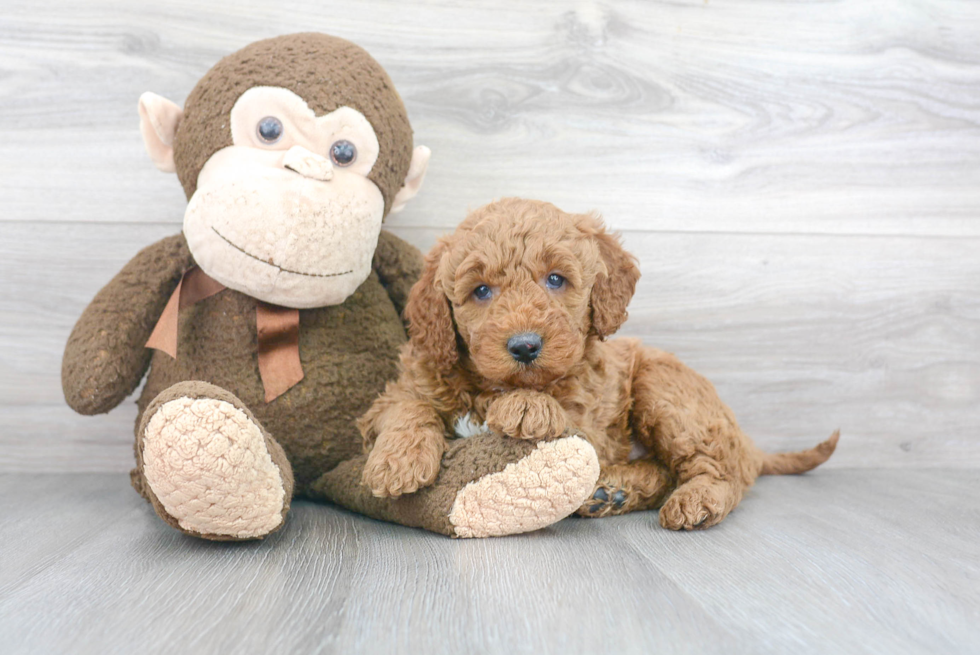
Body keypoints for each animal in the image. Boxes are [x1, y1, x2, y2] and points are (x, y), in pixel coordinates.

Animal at [360, 197, 836, 532]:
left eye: (555, 279)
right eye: (480, 291)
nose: (525, 346)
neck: (489, 385)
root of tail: (747, 442)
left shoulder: (592, 424)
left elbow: (556, 415)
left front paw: (526, 405)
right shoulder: (399, 390)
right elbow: (408, 407)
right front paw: (397, 462)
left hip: (664, 388)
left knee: (720, 470)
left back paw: (695, 500)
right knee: (666, 470)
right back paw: (613, 493)